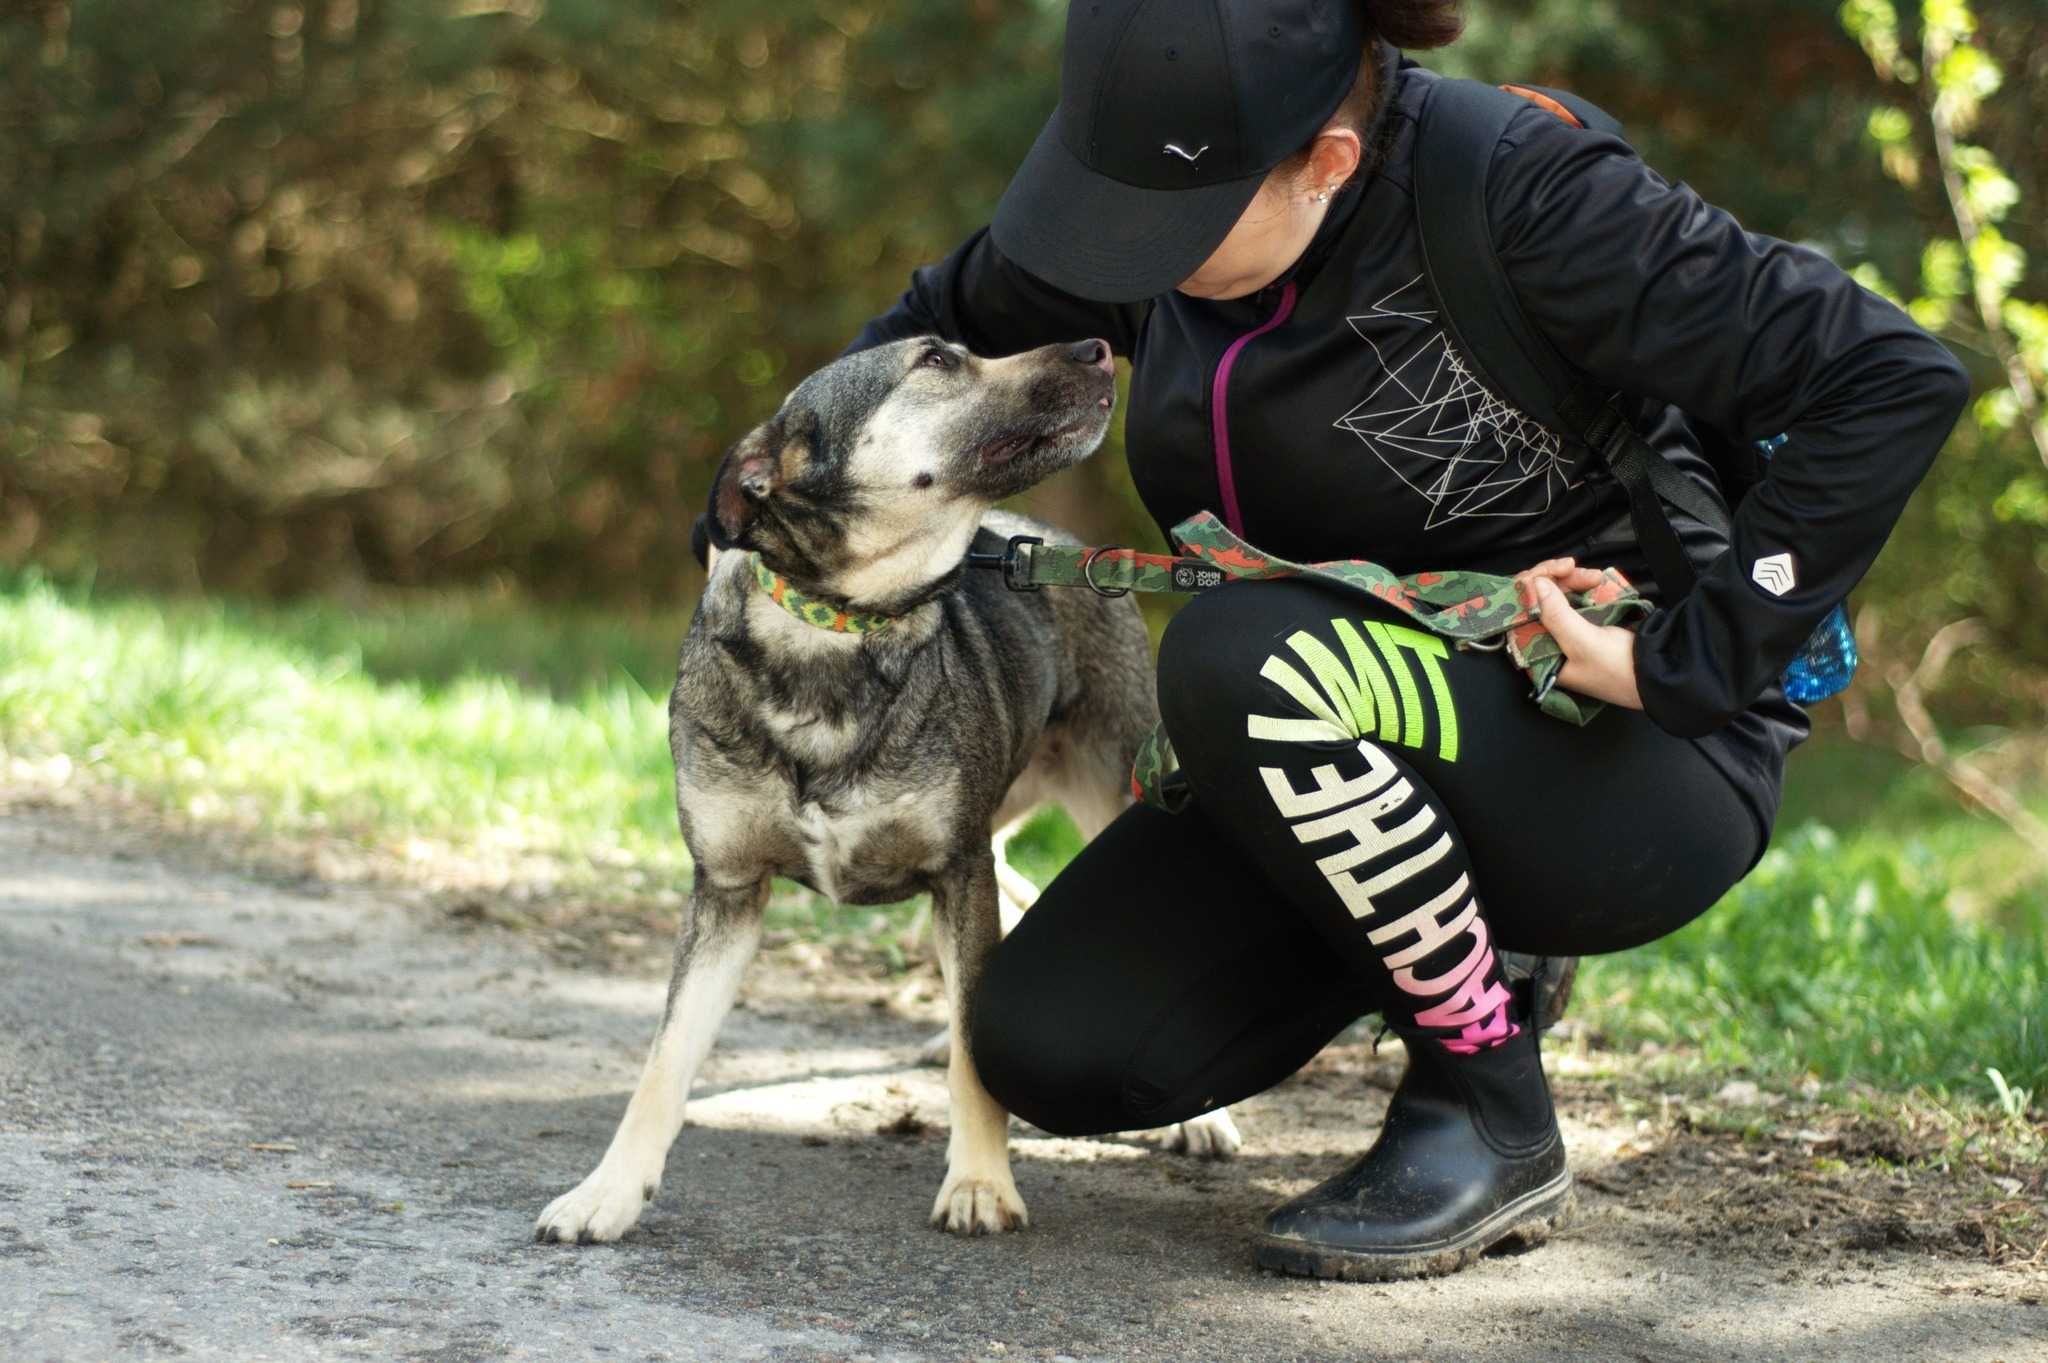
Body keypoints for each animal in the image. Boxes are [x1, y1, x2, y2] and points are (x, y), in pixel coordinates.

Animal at [532, 331, 1228, 1244]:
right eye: (935, 359)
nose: (1097, 345)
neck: (839, 629)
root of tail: (1057, 541)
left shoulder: (959, 869)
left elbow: (977, 1060)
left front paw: (979, 1180)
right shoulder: (726, 890)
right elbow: (664, 1057)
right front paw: (608, 1190)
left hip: (1117, 787)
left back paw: (1201, 1118)